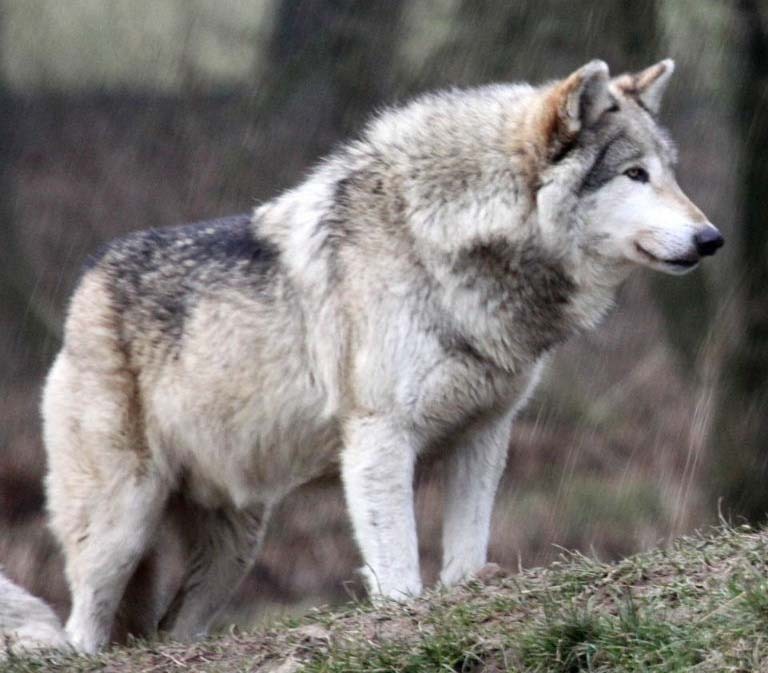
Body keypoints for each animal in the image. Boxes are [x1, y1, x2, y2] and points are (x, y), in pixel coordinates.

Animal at [38, 58, 722, 653]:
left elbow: (465, 553)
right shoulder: (380, 438)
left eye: (670, 172)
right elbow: (397, 570)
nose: (712, 238)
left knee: (169, 630)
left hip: (234, 546)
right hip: (122, 526)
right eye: (634, 174)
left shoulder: (486, 434)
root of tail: (85, 282)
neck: (446, 241)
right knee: (82, 627)